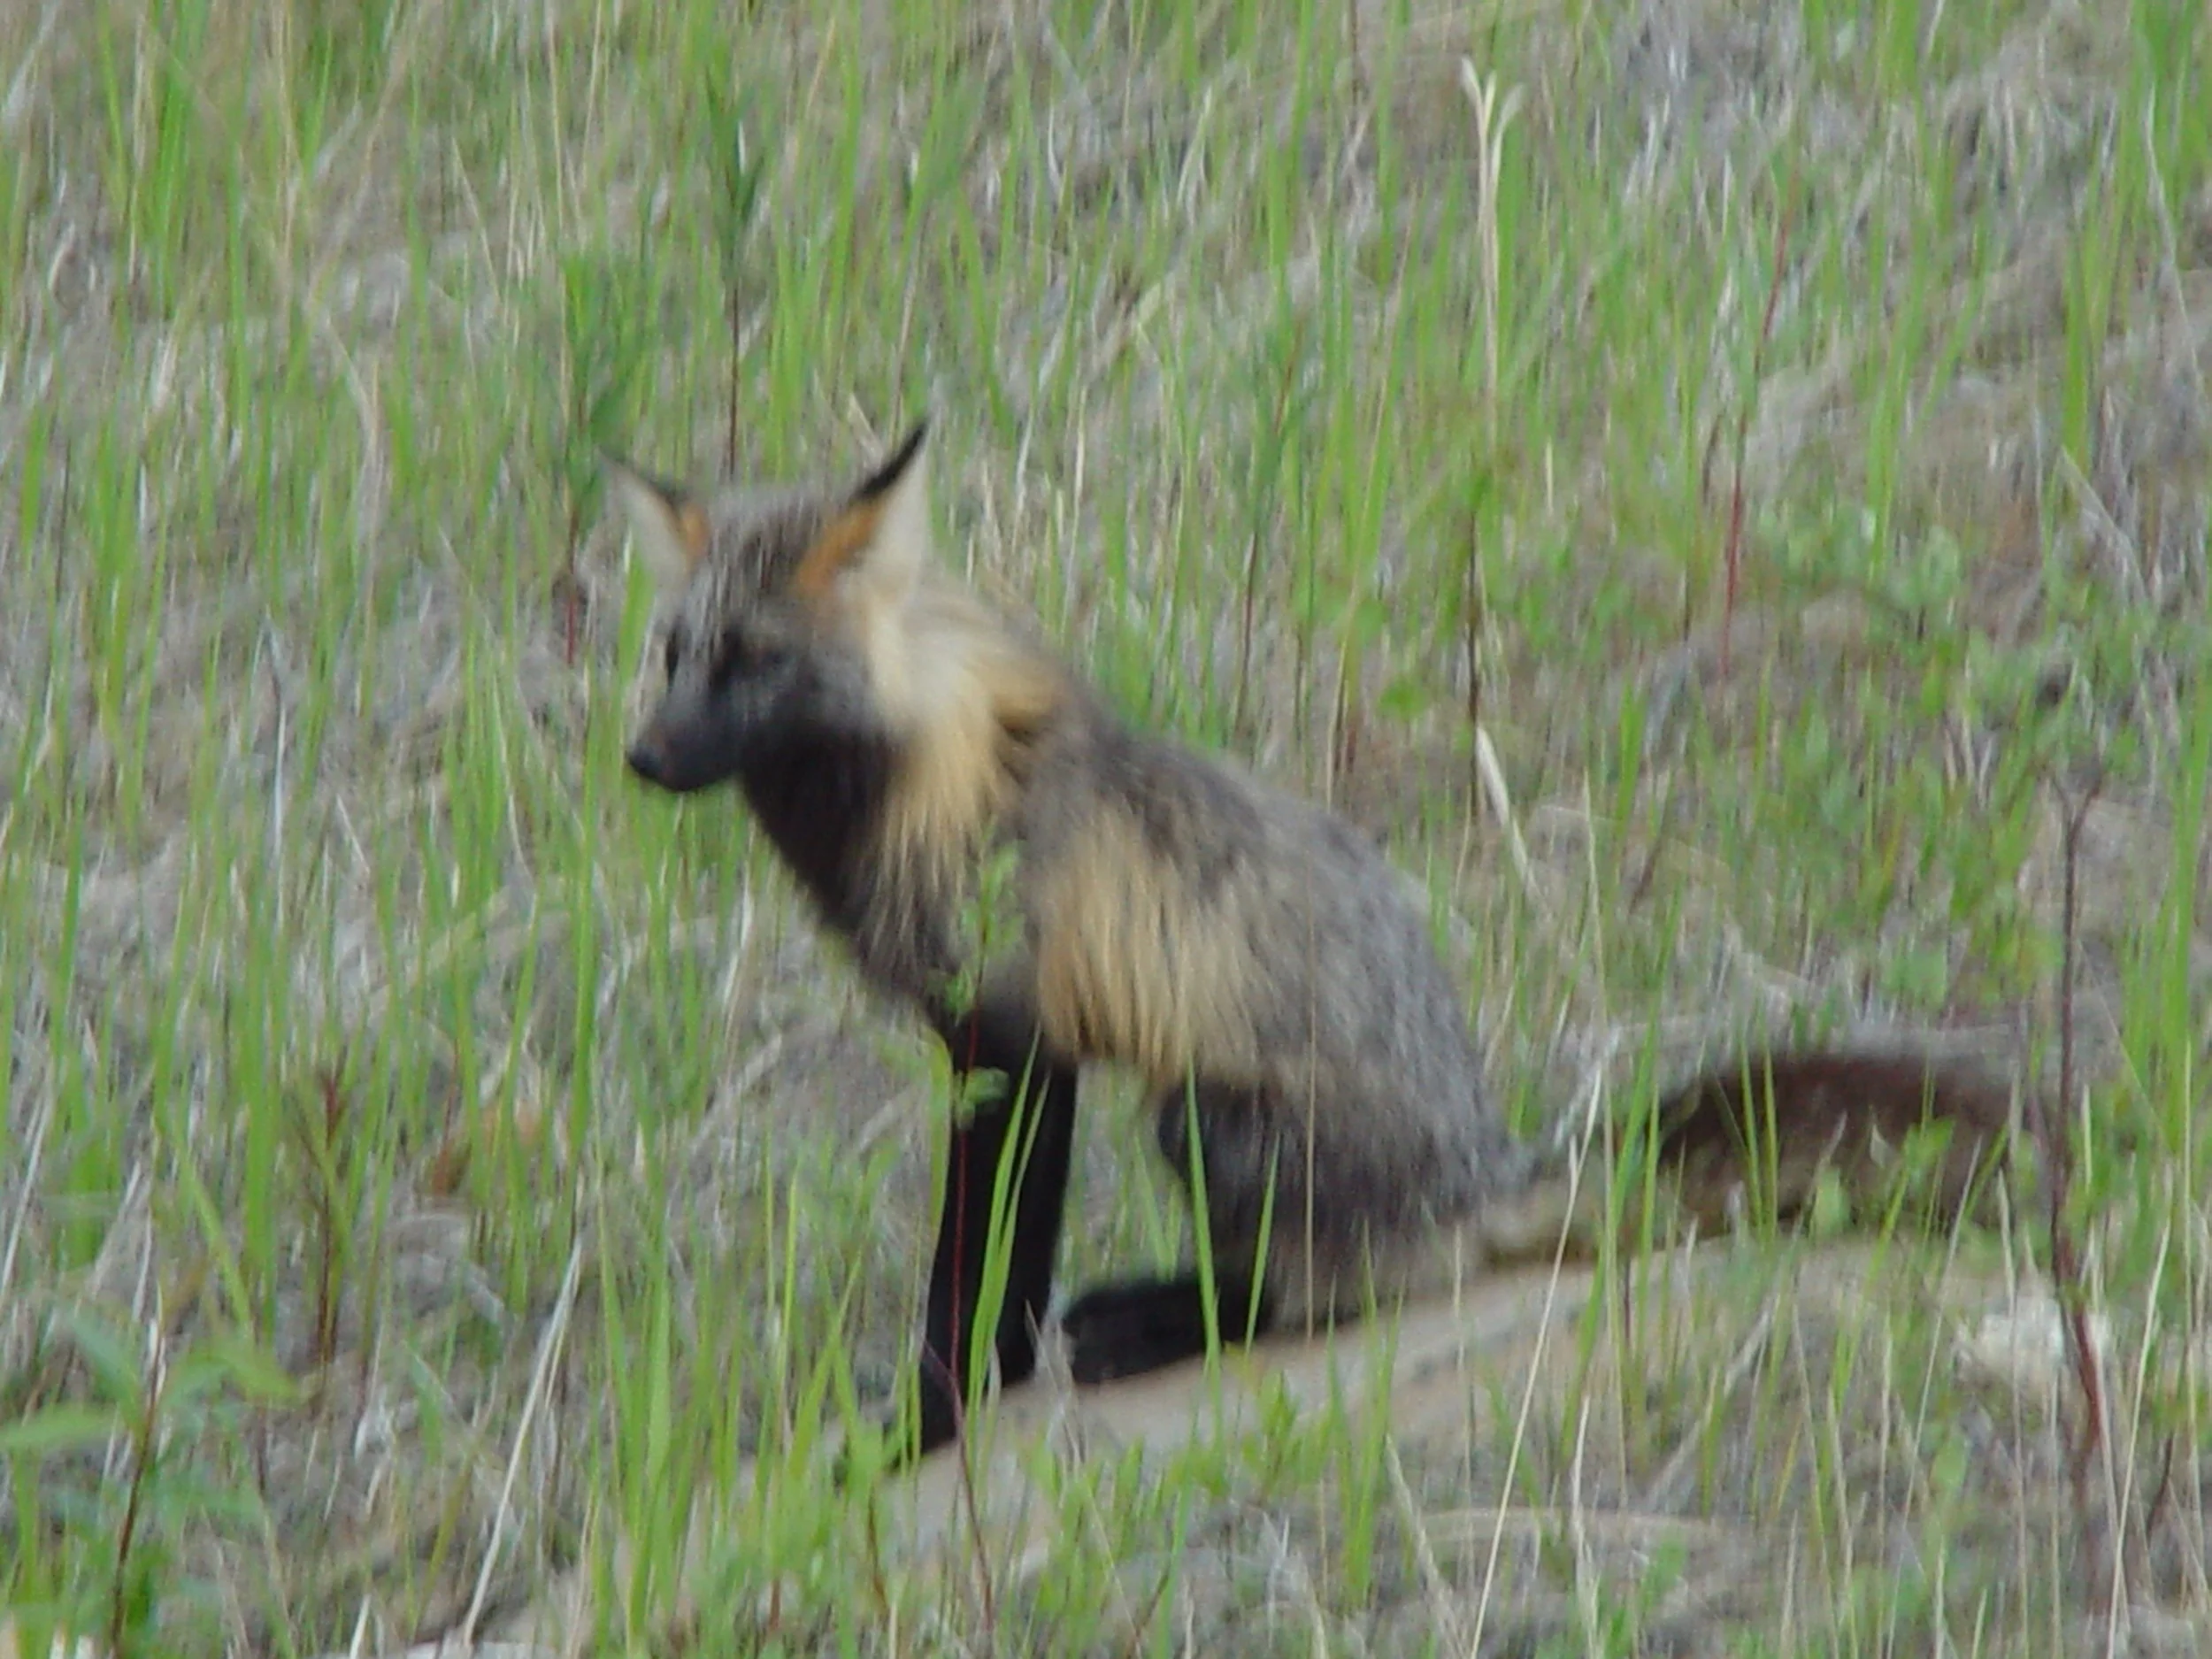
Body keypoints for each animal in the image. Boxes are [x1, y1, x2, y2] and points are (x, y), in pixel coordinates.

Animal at [608, 421, 2017, 1465]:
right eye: (672, 654)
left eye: (752, 661)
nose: (643, 757)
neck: (920, 774)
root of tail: (1484, 1168)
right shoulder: (994, 1044)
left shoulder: (1013, 1041)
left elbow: (982, 1278)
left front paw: (931, 1417)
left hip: (1203, 1120)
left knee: (1313, 1297)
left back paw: (1160, 1319)